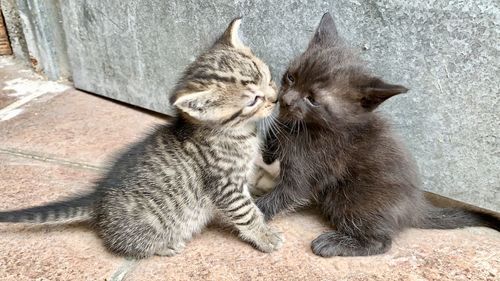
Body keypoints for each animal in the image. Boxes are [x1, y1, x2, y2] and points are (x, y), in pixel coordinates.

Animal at [0, 18, 284, 258]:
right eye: (252, 100)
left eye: (268, 77)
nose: (276, 98)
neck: (236, 132)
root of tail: (98, 199)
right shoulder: (225, 185)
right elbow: (246, 212)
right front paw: (265, 235)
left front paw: (263, 186)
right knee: (124, 244)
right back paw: (164, 246)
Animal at [256, 13, 498, 256]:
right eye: (291, 77)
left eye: (312, 99)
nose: (285, 100)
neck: (309, 127)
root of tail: (416, 207)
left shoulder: (311, 167)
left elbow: (288, 193)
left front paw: (257, 210)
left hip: (354, 199)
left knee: (381, 242)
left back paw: (335, 243)